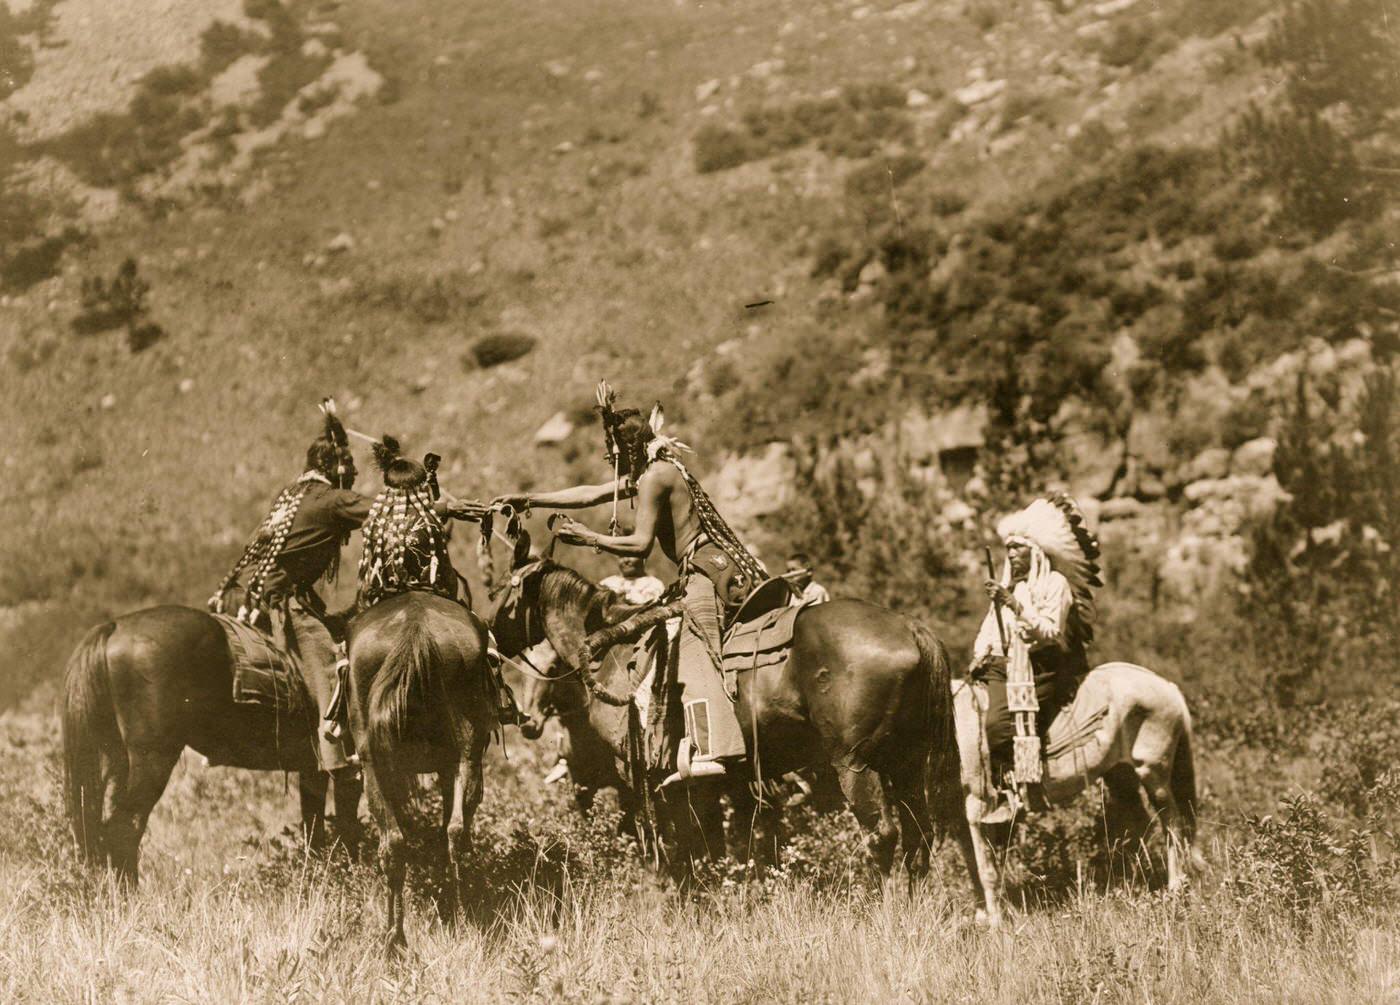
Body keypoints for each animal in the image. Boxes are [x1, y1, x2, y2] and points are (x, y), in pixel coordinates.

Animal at [65, 601, 361, 884]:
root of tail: (114, 627)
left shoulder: (313, 770)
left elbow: (315, 829)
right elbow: (347, 826)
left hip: (115, 760)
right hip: (153, 760)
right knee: (125, 826)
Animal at [345, 593, 495, 957]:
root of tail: (415, 628)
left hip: (377, 764)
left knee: (398, 844)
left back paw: (398, 936)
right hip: (464, 754)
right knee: (452, 834)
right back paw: (455, 921)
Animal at [490, 562, 963, 884]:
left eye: (503, 594)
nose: (490, 635)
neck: (614, 649)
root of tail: (910, 629)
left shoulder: (638, 775)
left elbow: (664, 845)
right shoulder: (704, 782)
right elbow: (709, 846)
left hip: (854, 763)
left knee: (882, 836)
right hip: (906, 764)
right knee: (918, 837)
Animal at [952, 660, 1204, 929]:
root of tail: (1167, 686)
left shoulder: (976, 808)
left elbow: (985, 870)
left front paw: (996, 925)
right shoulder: (960, 816)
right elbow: (973, 865)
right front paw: (981, 918)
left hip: (1153, 772)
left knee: (1173, 824)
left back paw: (1174, 890)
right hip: (1120, 773)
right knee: (1140, 824)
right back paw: (1129, 886)